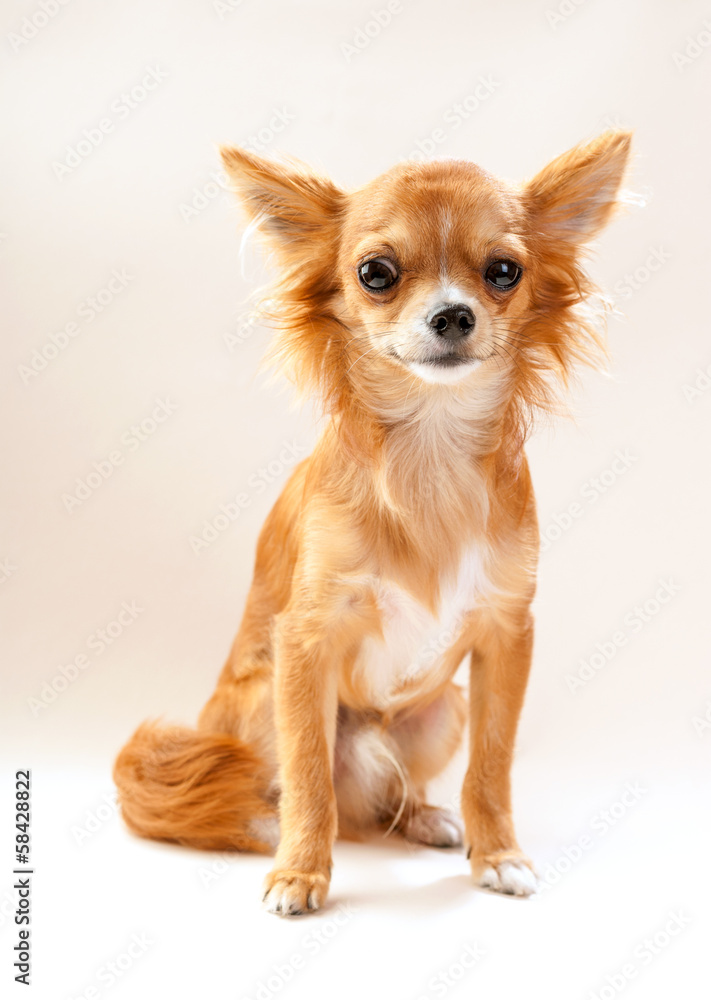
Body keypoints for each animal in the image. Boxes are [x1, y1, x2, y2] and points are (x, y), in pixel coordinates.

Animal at [115, 131, 636, 916]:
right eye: (376, 274)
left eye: (504, 272)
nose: (453, 315)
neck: (430, 448)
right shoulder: (305, 641)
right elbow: (308, 774)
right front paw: (301, 871)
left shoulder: (505, 637)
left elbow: (492, 766)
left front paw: (498, 854)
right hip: (259, 707)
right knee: (266, 792)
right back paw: (266, 827)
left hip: (440, 711)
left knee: (385, 794)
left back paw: (421, 817)